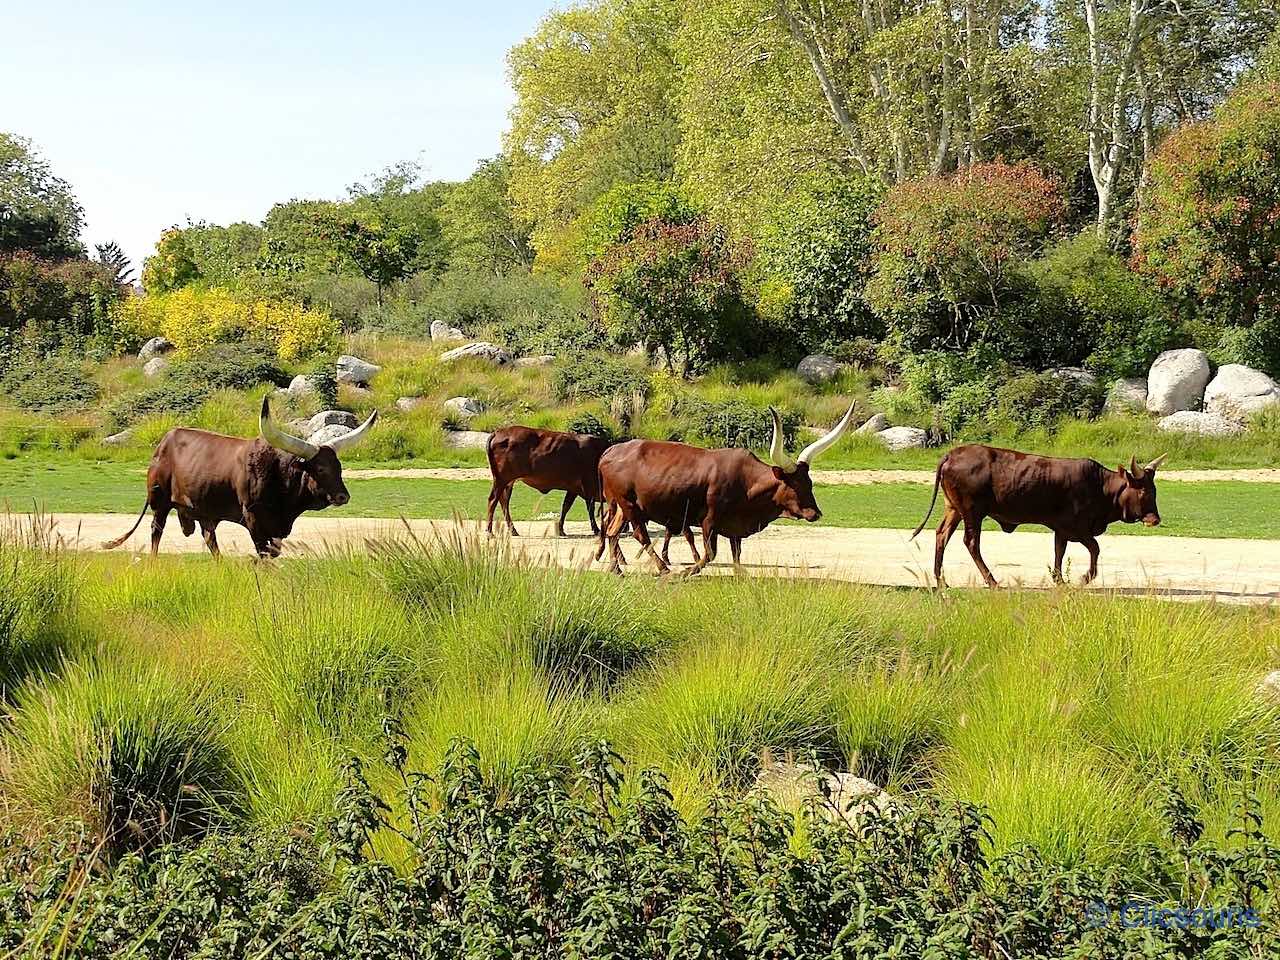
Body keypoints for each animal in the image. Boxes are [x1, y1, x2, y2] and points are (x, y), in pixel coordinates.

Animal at [104, 396, 373, 560]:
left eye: (339, 467)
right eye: (320, 469)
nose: (343, 496)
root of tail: (164, 442)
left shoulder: (277, 528)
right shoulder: (254, 517)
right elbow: (264, 553)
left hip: (203, 510)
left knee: (209, 538)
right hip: (159, 501)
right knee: (156, 532)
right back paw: (153, 561)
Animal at [593, 401, 855, 576]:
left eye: (809, 483)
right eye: (795, 484)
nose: (815, 514)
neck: (747, 484)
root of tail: (611, 450)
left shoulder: (735, 526)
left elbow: (737, 554)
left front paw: (741, 575)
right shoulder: (709, 521)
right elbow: (710, 554)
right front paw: (687, 572)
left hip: (621, 506)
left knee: (612, 531)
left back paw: (616, 569)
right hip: (630, 505)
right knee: (640, 535)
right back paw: (663, 567)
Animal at [911, 442, 1172, 586]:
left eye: (1154, 490)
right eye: (1143, 491)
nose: (1155, 519)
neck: (1101, 486)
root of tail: (952, 454)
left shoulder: (1061, 530)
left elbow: (1059, 552)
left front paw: (1060, 580)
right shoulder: (1077, 528)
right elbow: (1095, 549)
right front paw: (1084, 578)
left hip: (954, 509)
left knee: (942, 535)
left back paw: (941, 580)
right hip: (972, 512)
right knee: (971, 542)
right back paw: (992, 581)